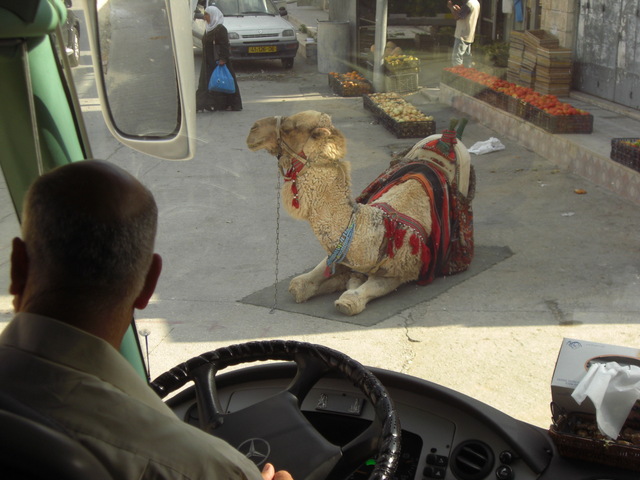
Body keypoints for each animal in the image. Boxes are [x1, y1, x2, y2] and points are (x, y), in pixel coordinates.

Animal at [248, 110, 472, 316]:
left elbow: (354, 297)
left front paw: (348, 295)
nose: (252, 130)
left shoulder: (402, 271)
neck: (374, 231)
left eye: (288, 128)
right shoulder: (340, 256)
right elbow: (299, 284)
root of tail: (445, 139)